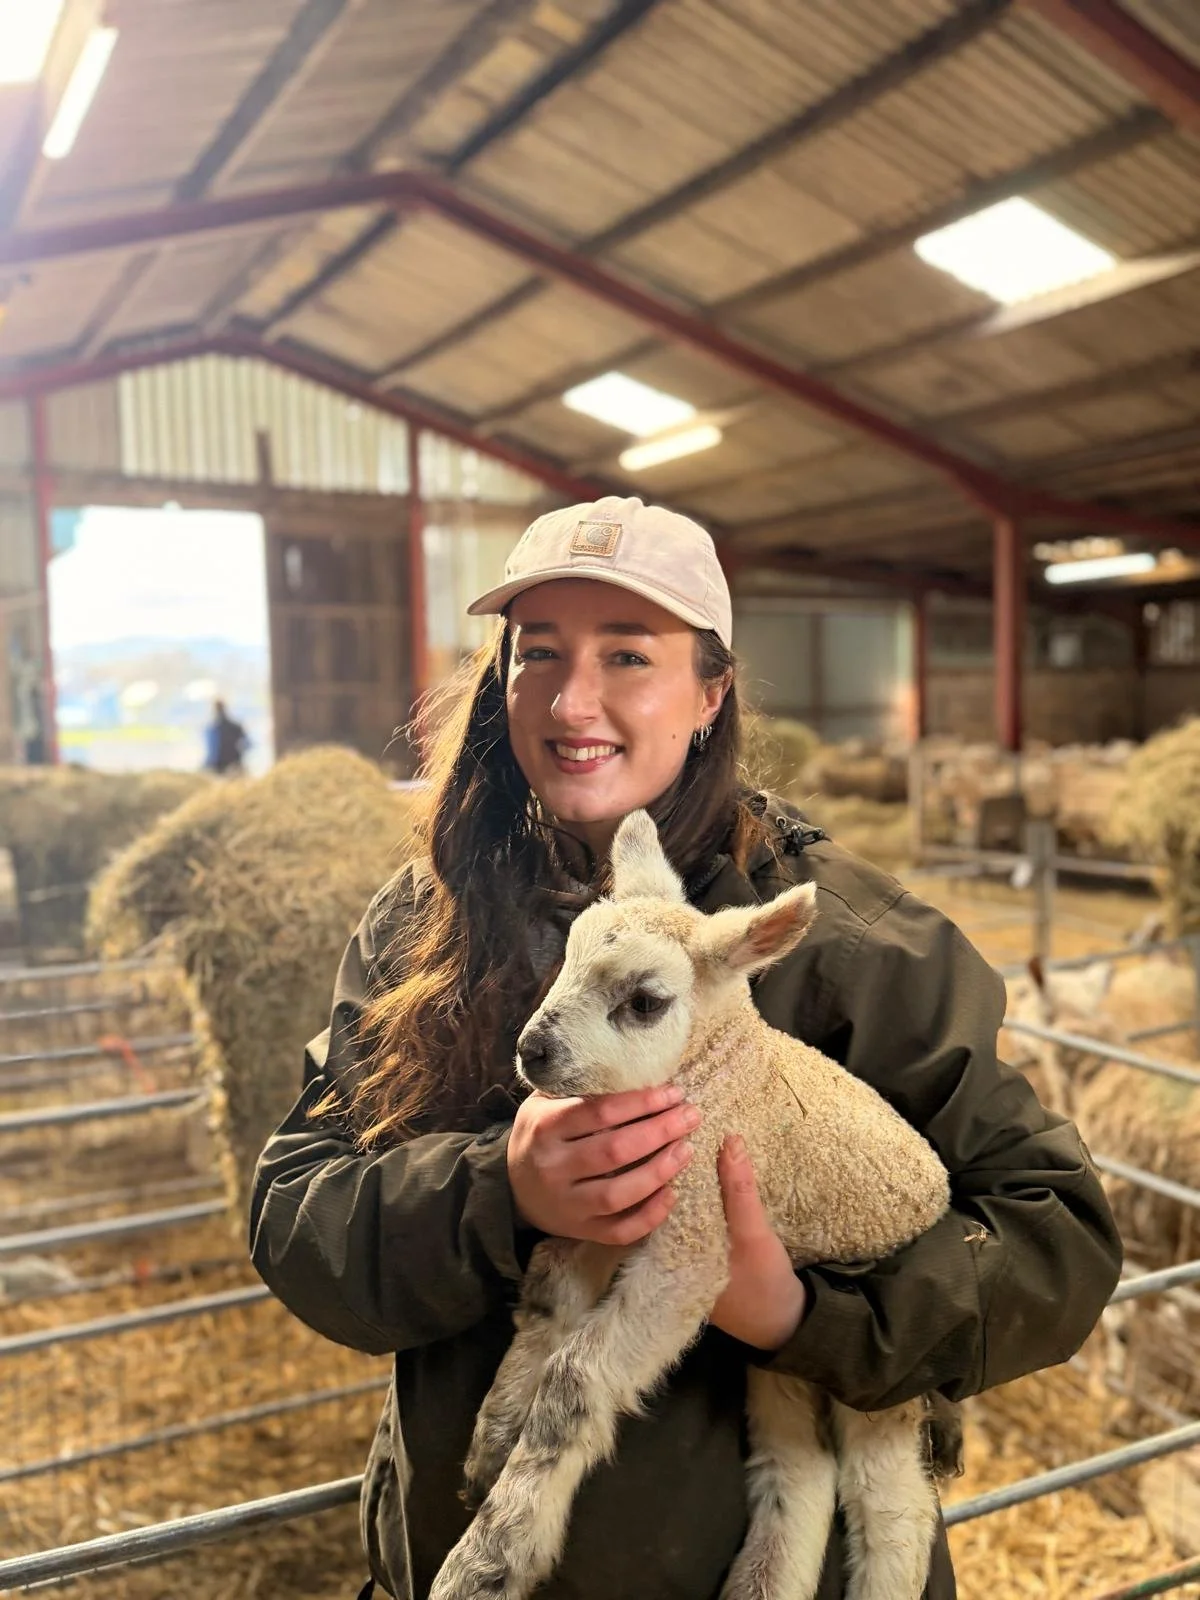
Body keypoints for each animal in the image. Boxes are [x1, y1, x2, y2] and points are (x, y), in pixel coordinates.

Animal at [428, 810, 953, 1600]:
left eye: (645, 1002)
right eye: (565, 957)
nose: (533, 1052)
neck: (720, 1076)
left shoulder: (691, 1249)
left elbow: (574, 1382)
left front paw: (490, 1556)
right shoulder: (603, 1218)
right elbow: (545, 1310)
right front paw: (493, 1439)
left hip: (878, 1380)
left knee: (891, 1503)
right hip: (781, 1357)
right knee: (797, 1470)